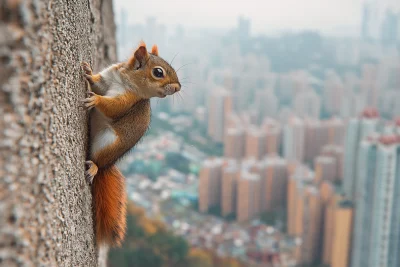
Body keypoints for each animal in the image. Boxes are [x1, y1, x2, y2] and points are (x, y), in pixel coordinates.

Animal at [80, 40, 180, 248]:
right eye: (158, 72)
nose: (178, 88)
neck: (125, 79)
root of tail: (109, 163)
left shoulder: (127, 100)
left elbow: (112, 107)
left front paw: (95, 99)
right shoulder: (107, 78)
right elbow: (96, 81)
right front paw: (87, 71)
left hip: (107, 143)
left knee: (97, 160)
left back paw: (94, 167)